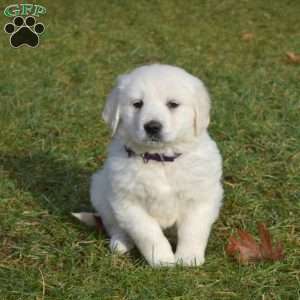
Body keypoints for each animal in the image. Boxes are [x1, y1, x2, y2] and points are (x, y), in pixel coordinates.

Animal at [90, 63, 224, 268]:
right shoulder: (127, 201)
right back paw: (120, 242)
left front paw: (189, 258)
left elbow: (193, 229)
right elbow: (148, 233)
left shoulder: (200, 197)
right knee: (113, 224)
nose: (152, 126)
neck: (160, 158)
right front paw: (162, 259)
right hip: (100, 190)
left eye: (173, 104)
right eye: (137, 104)